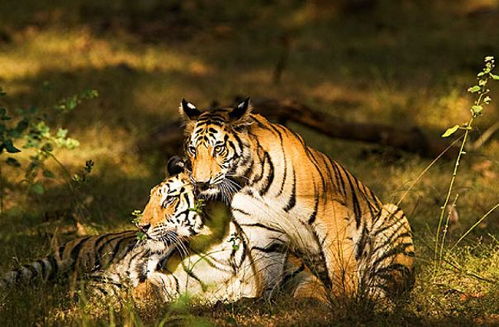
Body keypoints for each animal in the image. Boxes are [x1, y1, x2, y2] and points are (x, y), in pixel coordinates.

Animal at [178, 98, 416, 302]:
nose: (201, 183)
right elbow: (267, 268)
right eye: (192, 150)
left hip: (394, 221)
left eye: (218, 149)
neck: (248, 183)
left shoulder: (333, 214)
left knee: (384, 286)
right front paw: (262, 300)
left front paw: (344, 302)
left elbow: (339, 264)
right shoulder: (259, 228)